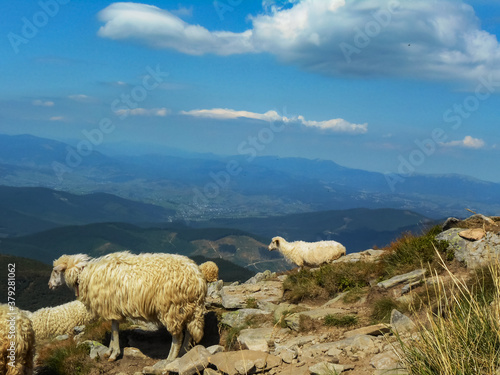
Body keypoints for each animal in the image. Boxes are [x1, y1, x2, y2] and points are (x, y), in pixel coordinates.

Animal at [48, 251, 207, 362]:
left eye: (55, 271)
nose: (49, 285)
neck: (85, 275)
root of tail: (199, 279)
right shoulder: (113, 308)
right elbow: (114, 328)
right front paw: (109, 351)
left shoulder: (111, 308)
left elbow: (114, 330)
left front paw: (114, 354)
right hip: (186, 308)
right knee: (188, 331)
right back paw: (184, 352)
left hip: (171, 308)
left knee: (177, 336)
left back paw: (170, 359)